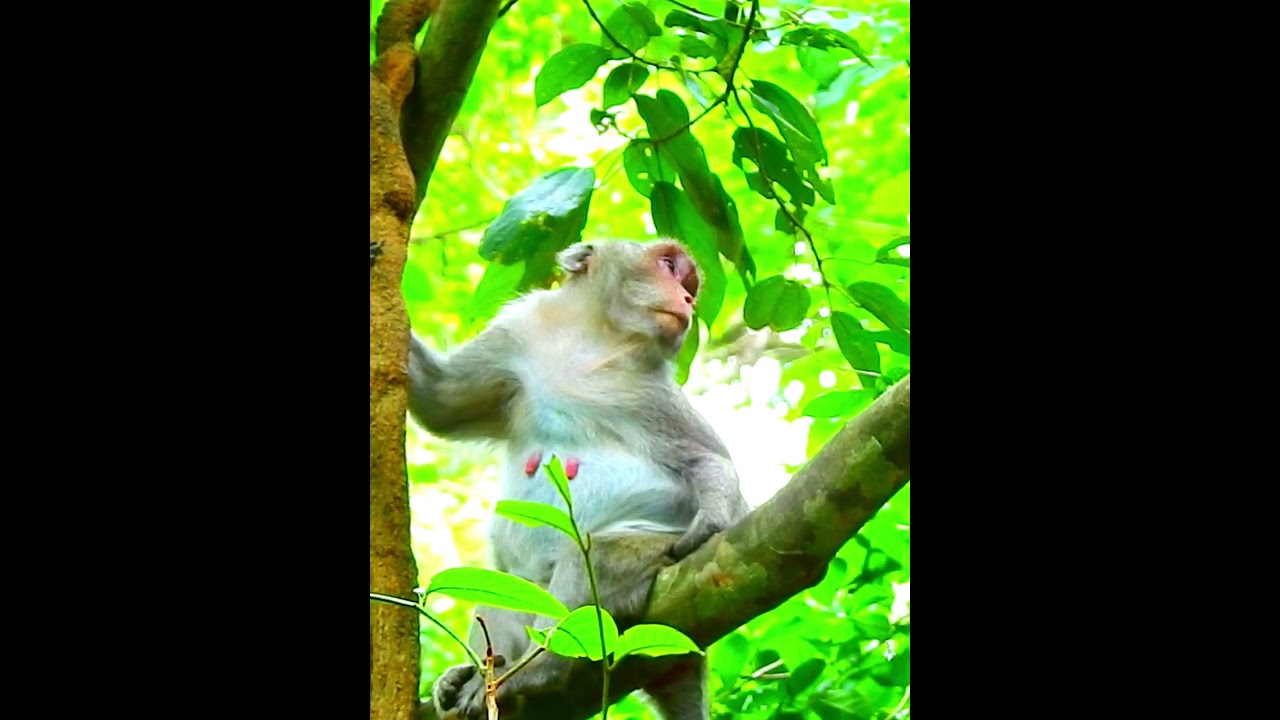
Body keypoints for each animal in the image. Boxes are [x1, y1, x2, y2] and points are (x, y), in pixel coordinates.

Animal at [410, 239, 750, 720]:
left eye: (687, 283)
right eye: (667, 266)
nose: (687, 298)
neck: (591, 337)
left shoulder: (649, 390)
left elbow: (707, 462)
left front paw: (714, 519)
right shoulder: (515, 334)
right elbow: (439, 401)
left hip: (646, 555)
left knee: (591, 557)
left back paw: (540, 669)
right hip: (527, 596)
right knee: (501, 593)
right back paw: (477, 674)